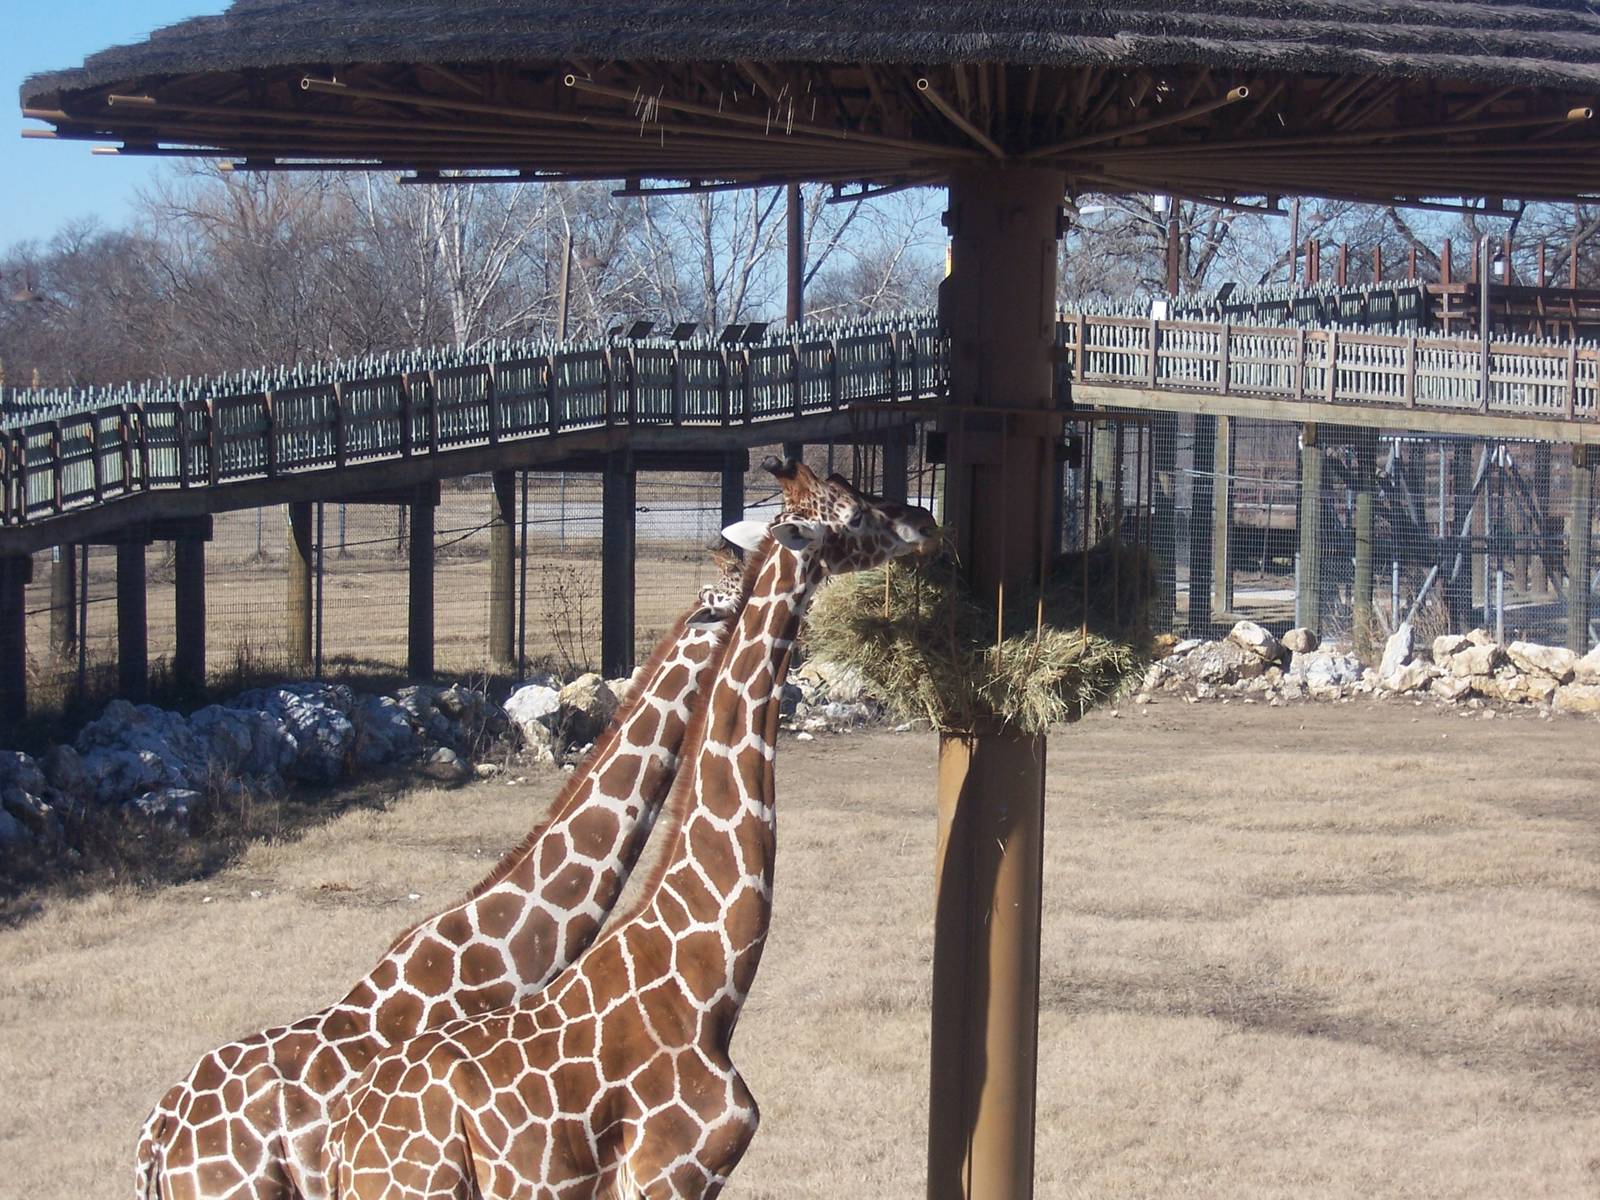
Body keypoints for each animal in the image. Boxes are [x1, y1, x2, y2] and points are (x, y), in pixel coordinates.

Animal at [328, 460, 938, 1200]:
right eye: (852, 512)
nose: (924, 521)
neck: (704, 984)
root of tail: (345, 1142)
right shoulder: (668, 1173)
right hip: (423, 1188)